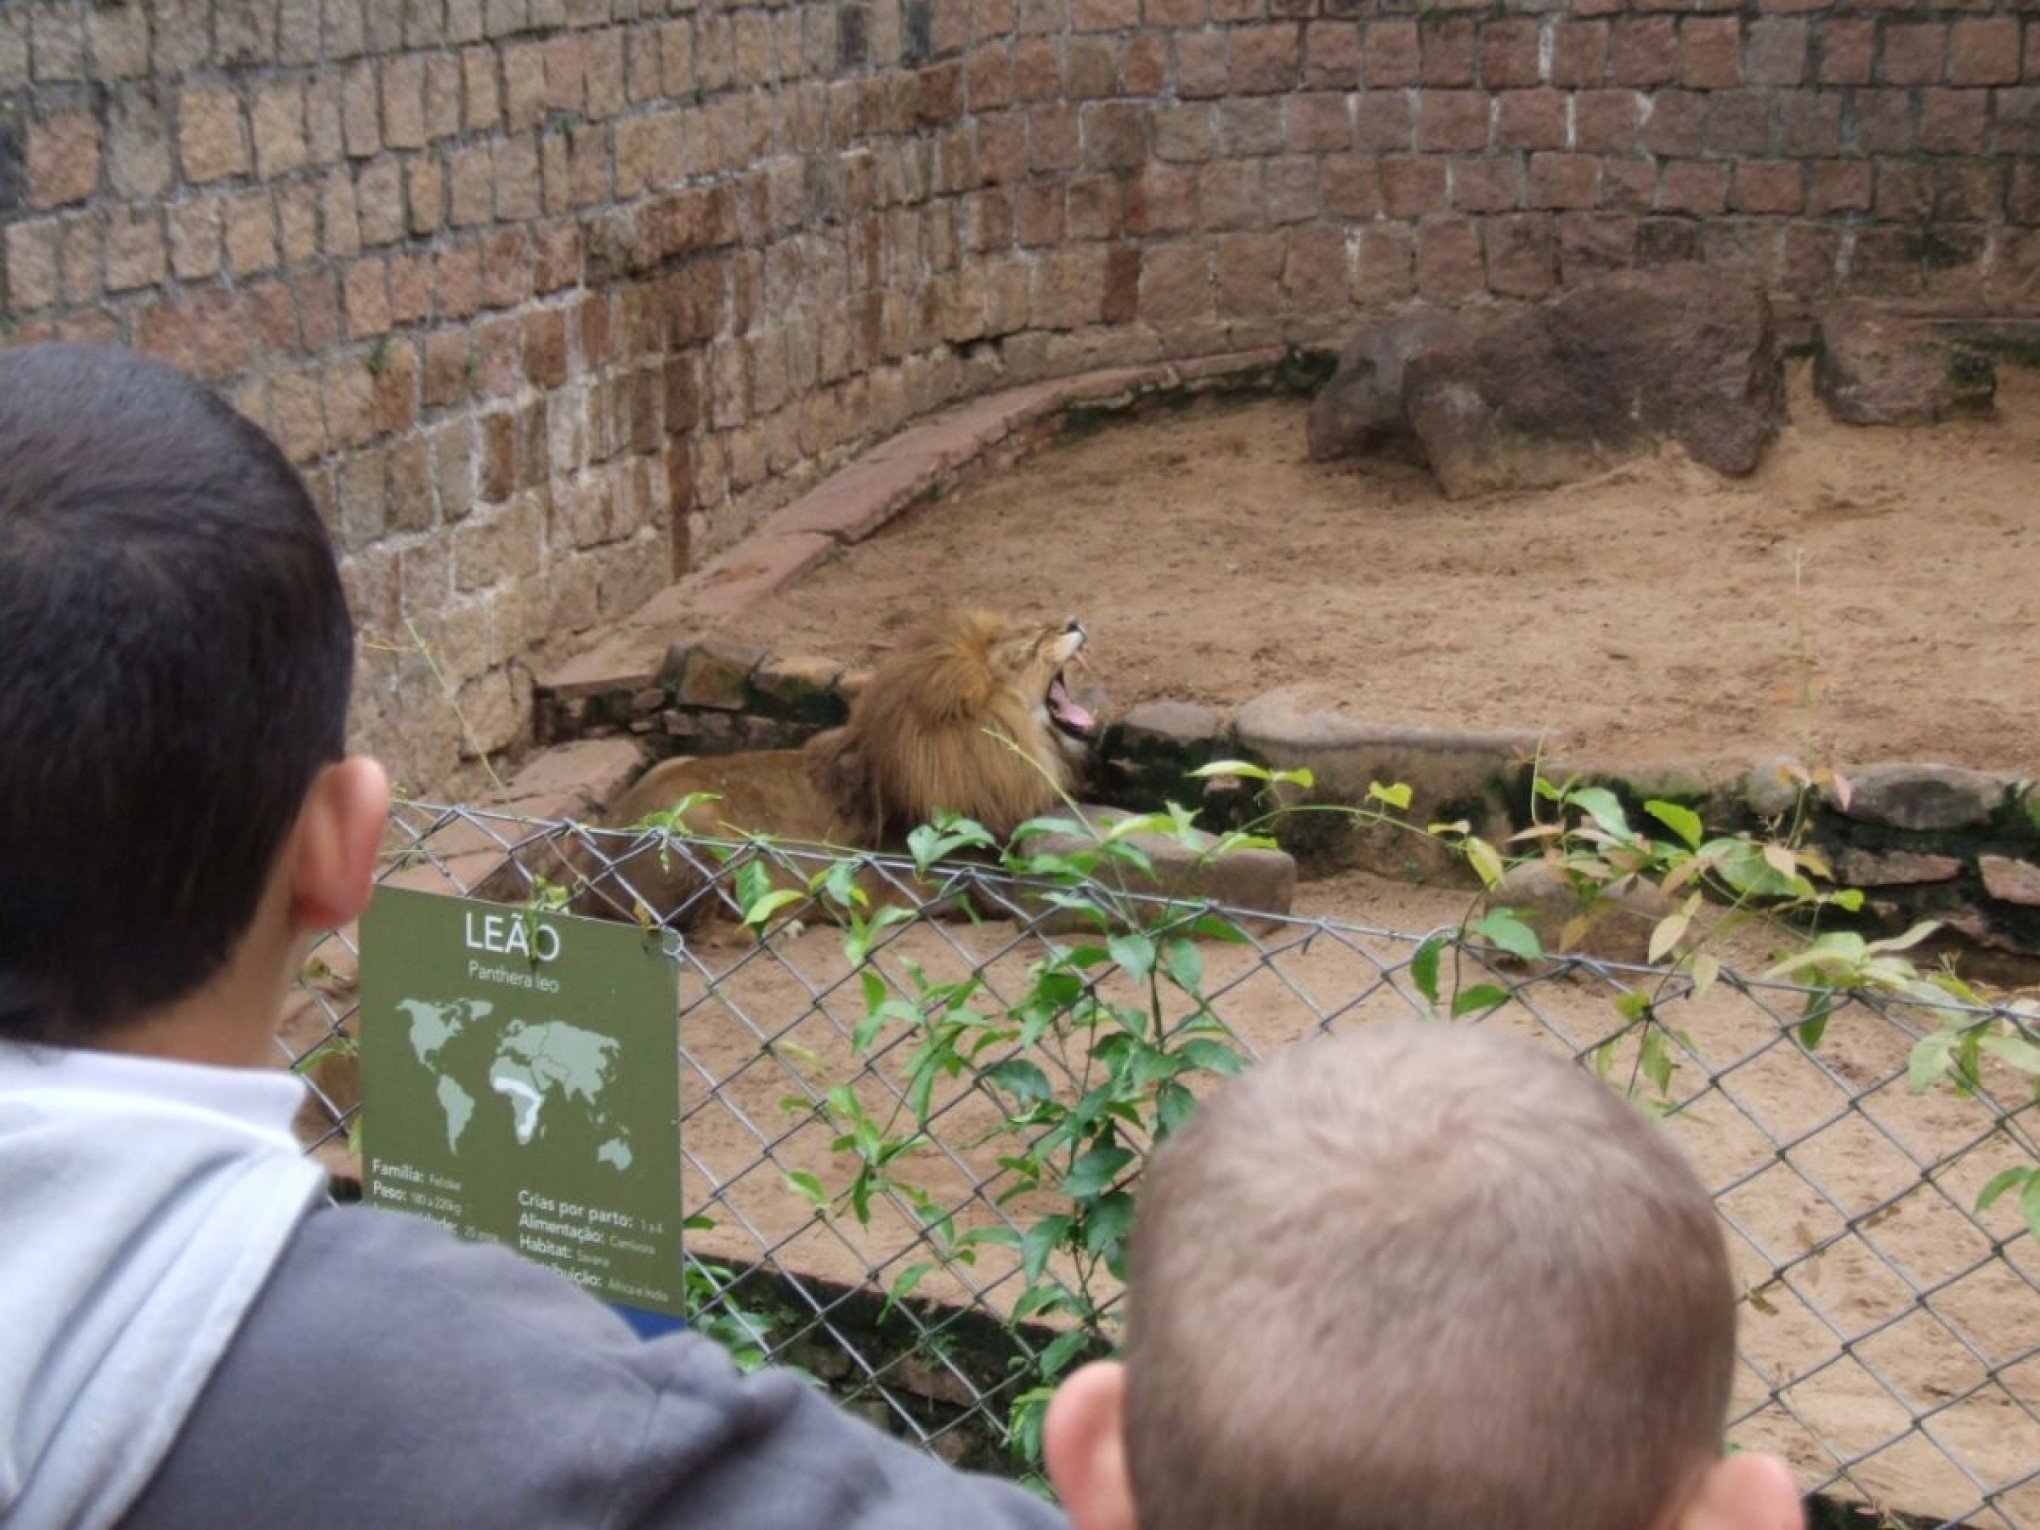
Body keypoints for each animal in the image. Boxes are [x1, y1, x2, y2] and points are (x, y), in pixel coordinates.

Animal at [546, 616, 1101, 930]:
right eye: (1030, 645)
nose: (1073, 621)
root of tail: (588, 882)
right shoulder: (913, 876)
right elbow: (997, 889)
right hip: (702, 825)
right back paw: (783, 920)